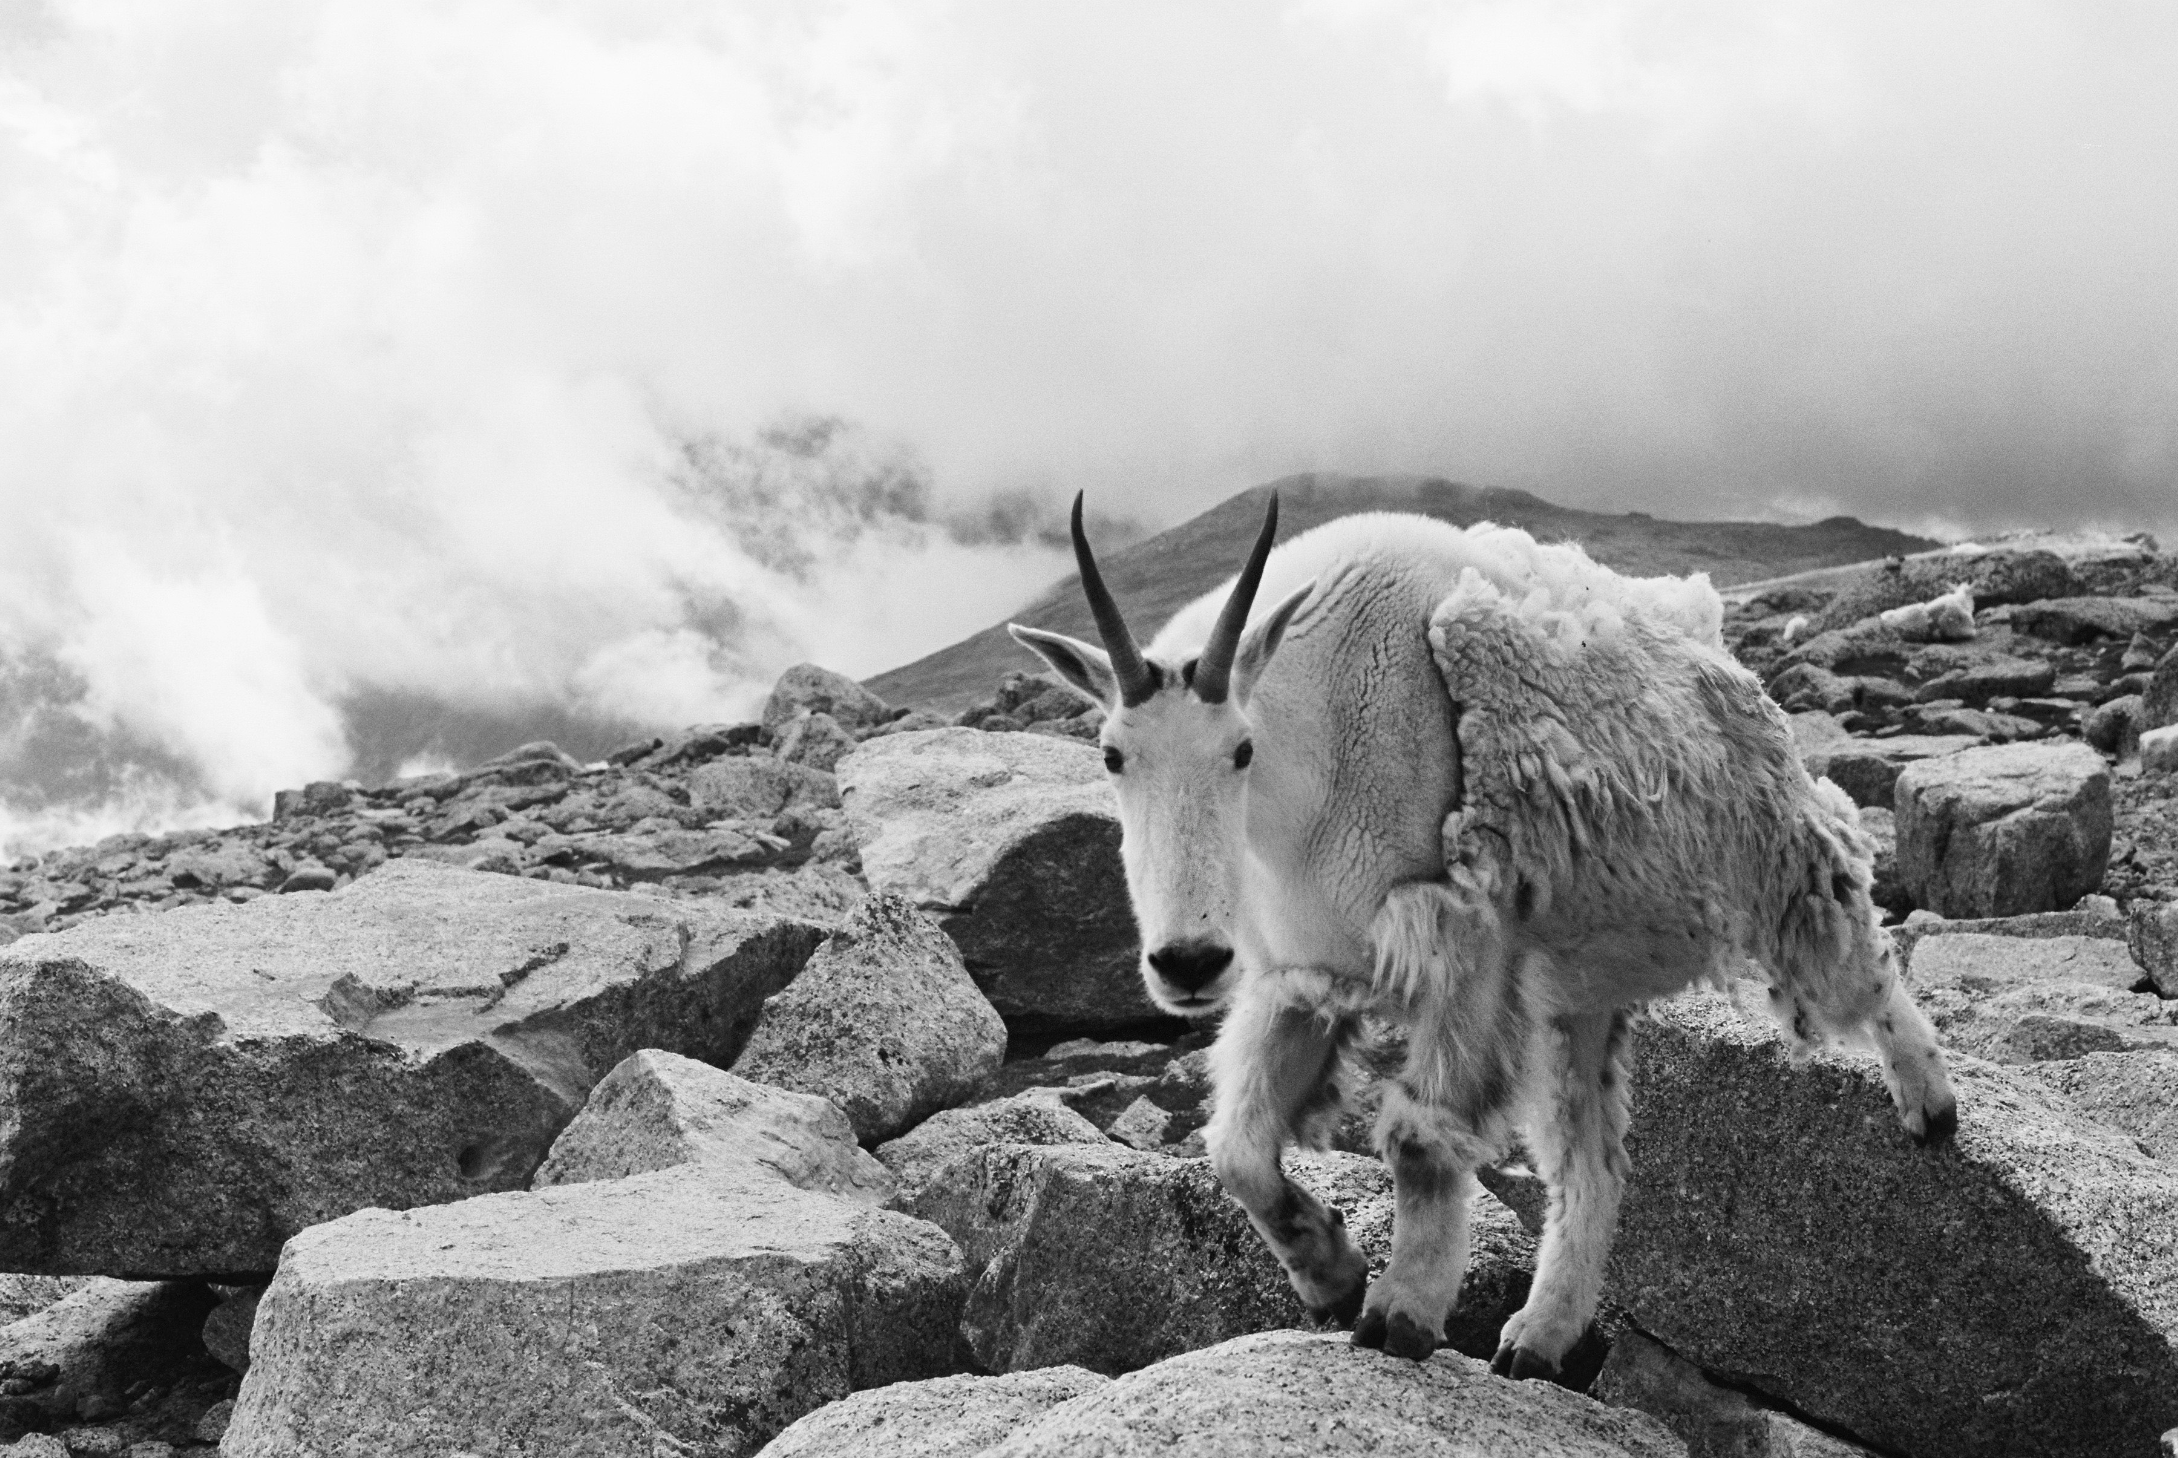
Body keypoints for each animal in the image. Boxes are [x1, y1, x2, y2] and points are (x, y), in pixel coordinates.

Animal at [1010, 494, 1958, 1377]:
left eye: (1241, 750)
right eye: (1110, 755)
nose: (1188, 963)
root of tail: (1715, 646)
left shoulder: (1462, 939)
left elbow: (1420, 1138)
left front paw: (1399, 1314)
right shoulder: (1304, 973)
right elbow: (1236, 1149)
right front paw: (1332, 1272)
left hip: (1784, 869)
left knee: (1863, 968)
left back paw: (1931, 1106)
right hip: (1577, 992)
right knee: (1591, 1162)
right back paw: (1540, 1336)